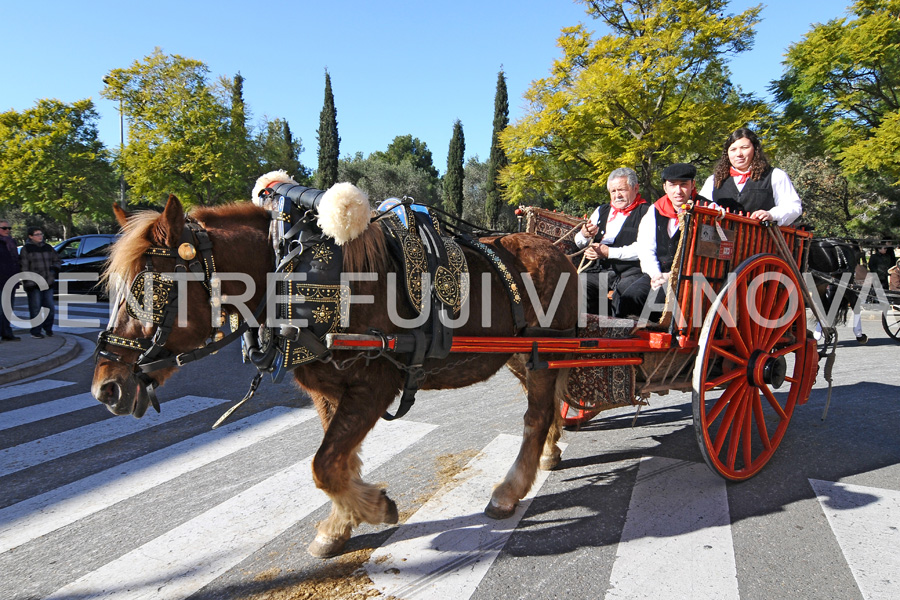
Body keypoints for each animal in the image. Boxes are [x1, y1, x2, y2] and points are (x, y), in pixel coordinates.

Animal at [86, 177, 576, 556]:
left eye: (147, 292)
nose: (106, 388)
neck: (295, 277)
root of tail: (559, 252)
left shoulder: (375, 385)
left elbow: (323, 465)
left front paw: (375, 508)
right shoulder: (327, 391)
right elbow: (336, 464)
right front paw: (341, 524)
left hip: (544, 352)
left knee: (535, 417)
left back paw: (510, 490)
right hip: (524, 355)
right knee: (549, 405)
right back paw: (550, 451)